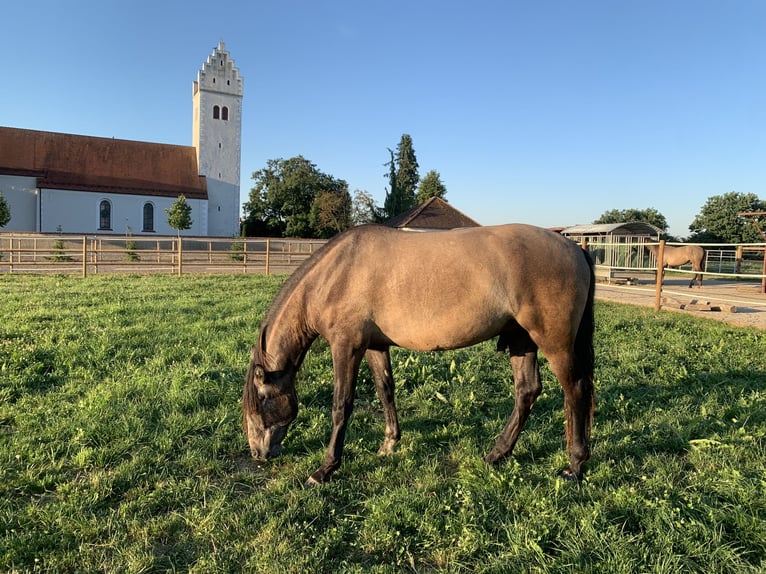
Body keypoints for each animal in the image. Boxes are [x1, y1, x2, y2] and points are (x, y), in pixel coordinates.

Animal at [243, 223, 596, 488]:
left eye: (262, 399)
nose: (258, 453)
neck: (336, 274)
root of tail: (574, 247)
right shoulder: (374, 346)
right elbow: (385, 390)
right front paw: (389, 444)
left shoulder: (346, 346)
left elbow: (341, 406)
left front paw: (325, 469)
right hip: (522, 340)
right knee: (527, 391)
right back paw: (497, 454)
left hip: (553, 342)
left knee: (575, 390)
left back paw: (575, 465)